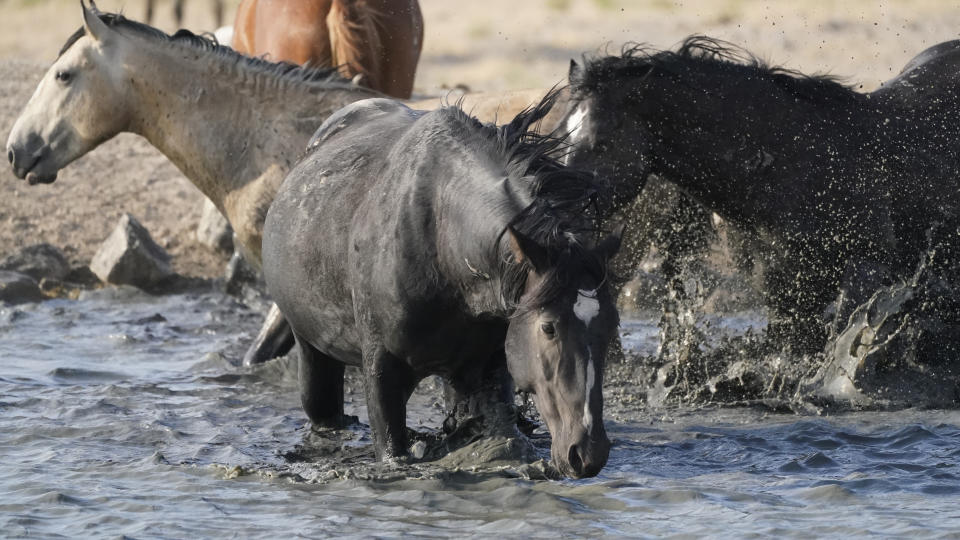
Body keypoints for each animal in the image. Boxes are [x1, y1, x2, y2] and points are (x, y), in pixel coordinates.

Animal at [262, 95, 624, 478]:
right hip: (313, 352)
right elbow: (391, 447)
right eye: (548, 327)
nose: (587, 453)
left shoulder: (488, 369)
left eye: (611, 325)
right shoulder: (381, 370)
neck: (440, 235)